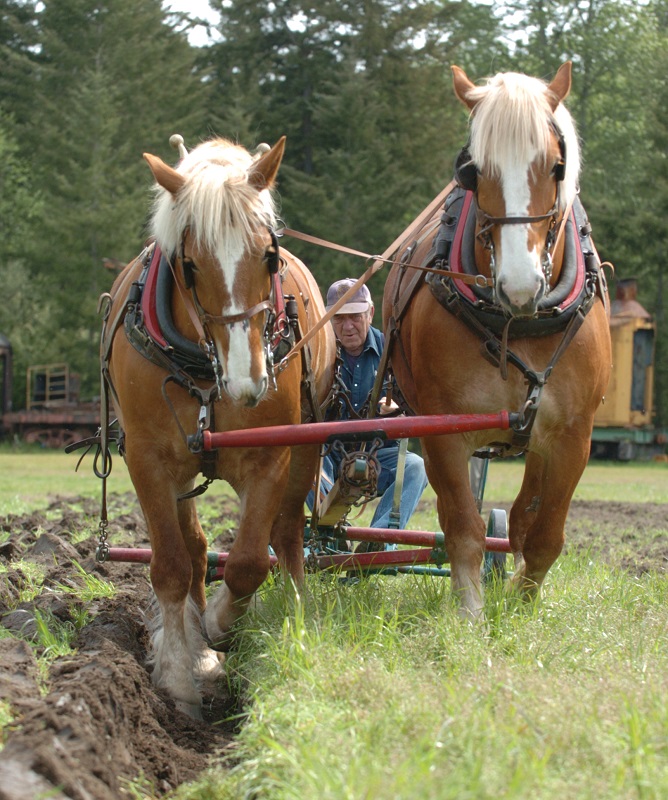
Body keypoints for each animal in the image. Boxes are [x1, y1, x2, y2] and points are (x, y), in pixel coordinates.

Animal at [101, 136, 336, 716]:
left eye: (269, 256)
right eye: (188, 264)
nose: (248, 383)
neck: (208, 372)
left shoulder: (270, 456)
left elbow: (250, 561)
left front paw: (224, 626)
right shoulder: (147, 459)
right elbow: (170, 564)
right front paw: (180, 672)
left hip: (307, 449)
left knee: (287, 535)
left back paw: (293, 610)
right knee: (195, 548)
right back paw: (190, 642)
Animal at [382, 62, 611, 620]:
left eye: (556, 167)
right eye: (473, 171)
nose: (520, 286)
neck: (518, 326)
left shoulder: (573, 435)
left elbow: (544, 534)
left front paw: (522, 611)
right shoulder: (443, 430)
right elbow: (462, 528)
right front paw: (470, 615)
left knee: (526, 516)